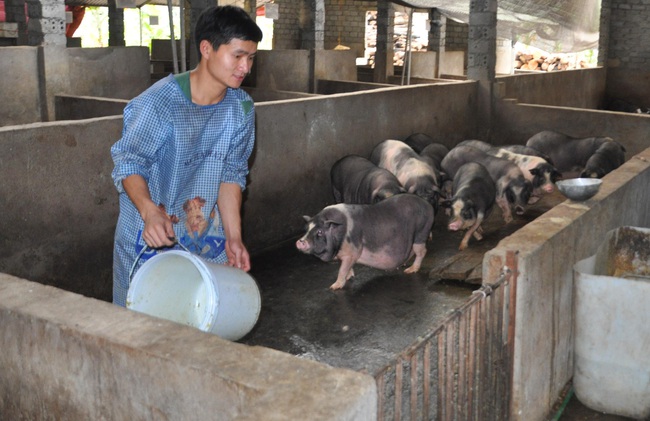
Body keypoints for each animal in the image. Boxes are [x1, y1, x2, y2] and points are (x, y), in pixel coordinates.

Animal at [296, 193, 432, 288]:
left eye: (320, 232)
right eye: (306, 229)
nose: (300, 241)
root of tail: (427, 205)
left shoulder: (352, 252)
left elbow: (342, 269)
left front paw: (334, 287)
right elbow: (347, 267)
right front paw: (349, 277)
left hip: (421, 232)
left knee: (422, 251)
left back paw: (409, 270)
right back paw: (404, 266)